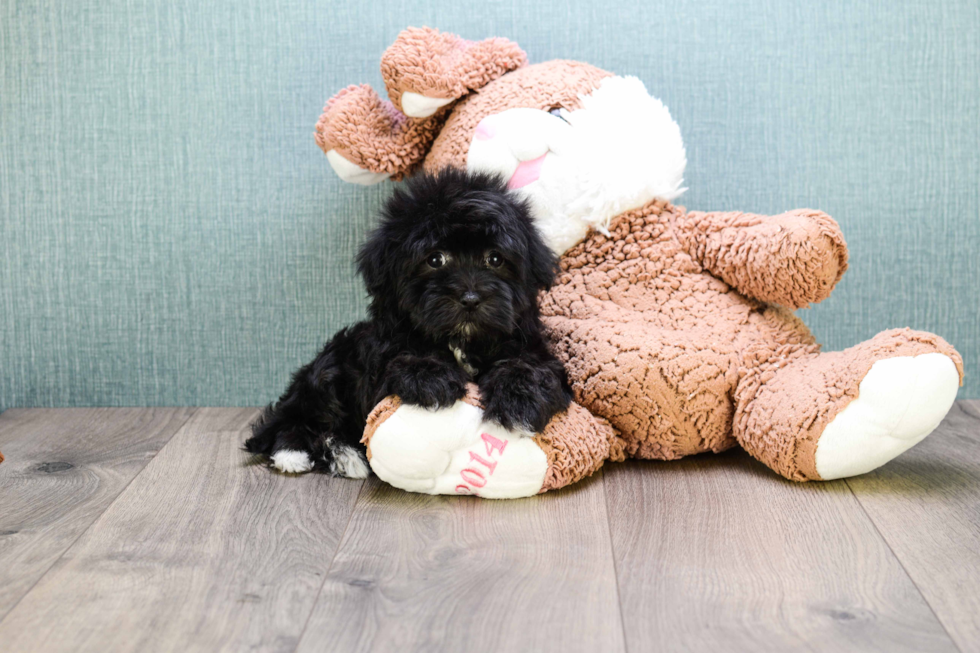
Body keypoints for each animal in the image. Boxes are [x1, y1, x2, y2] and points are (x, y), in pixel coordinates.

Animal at [244, 166, 576, 476]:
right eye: (435, 259)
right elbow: (404, 355)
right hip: (329, 370)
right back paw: (297, 453)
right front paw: (430, 376)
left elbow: (531, 366)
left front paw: (519, 399)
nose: (470, 298)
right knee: (296, 418)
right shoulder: (381, 357)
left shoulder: (530, 345)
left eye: (495, 259)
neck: (461, 339)